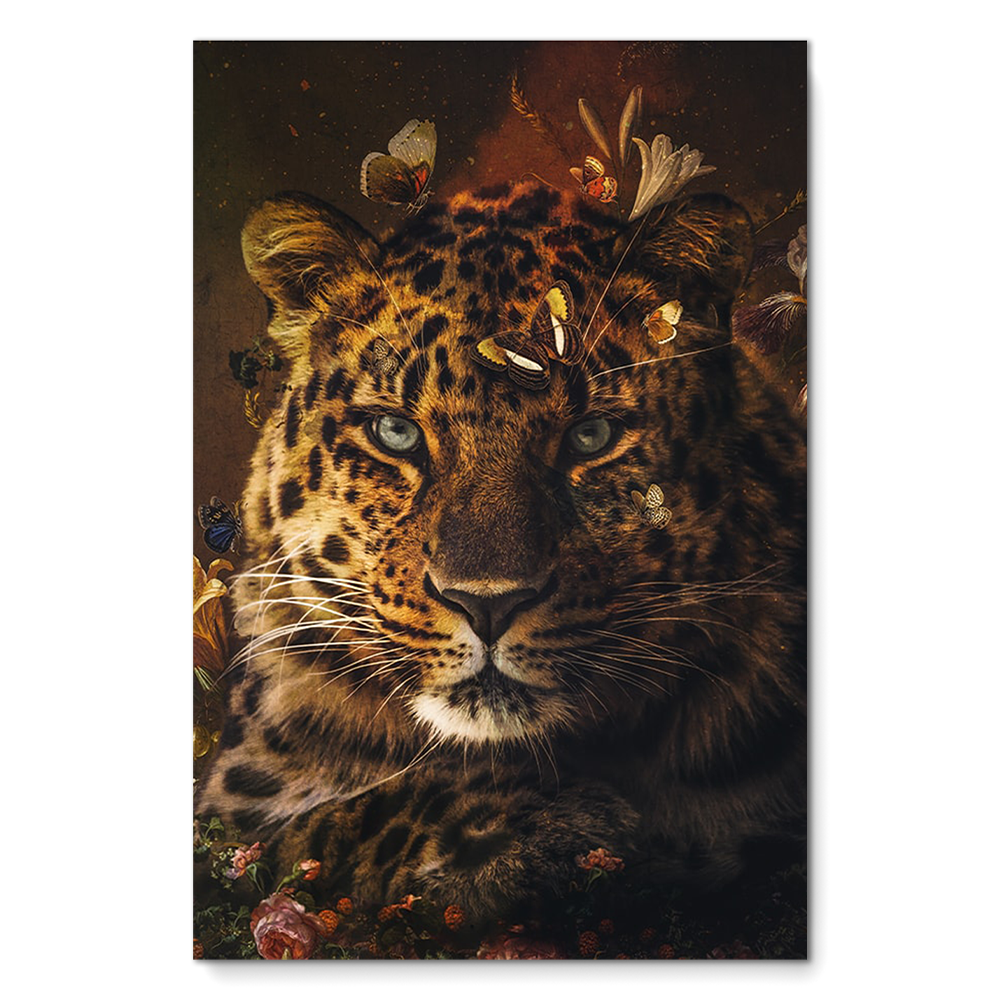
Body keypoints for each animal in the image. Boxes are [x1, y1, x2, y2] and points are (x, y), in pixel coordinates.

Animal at [195, 180, 808, 921]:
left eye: (591, 436)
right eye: (396, 433)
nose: (487, 605)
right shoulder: (229, 811)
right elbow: (314, 831)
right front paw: (550, 830)